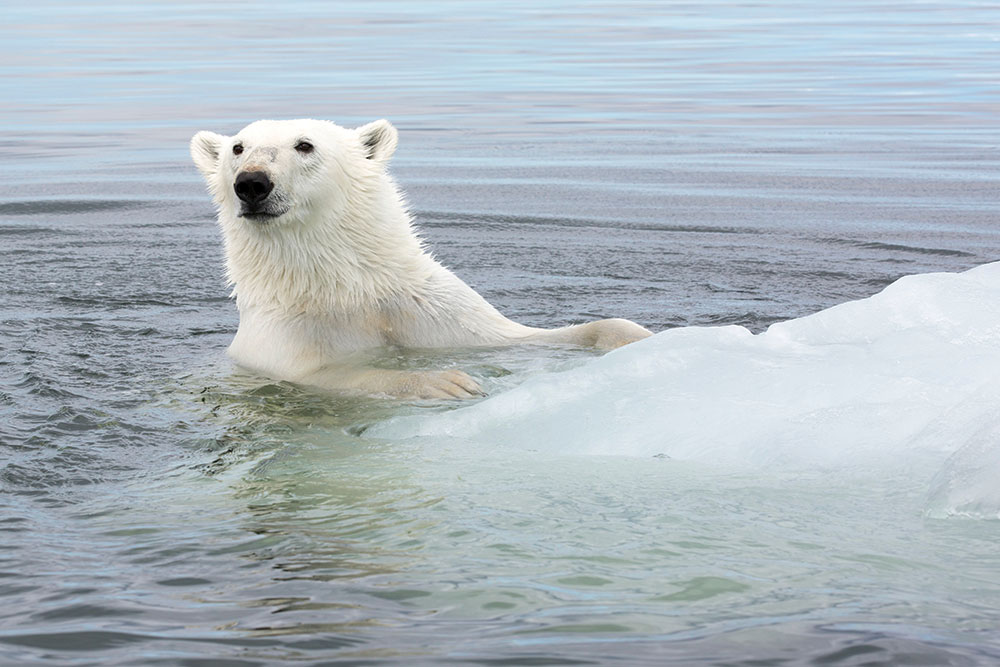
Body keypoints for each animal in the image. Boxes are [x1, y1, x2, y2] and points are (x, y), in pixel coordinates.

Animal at [190, 118, 652, 400]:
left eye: (304, 145)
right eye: (237, 148)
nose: (252, 183)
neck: (344, 287)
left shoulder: (423, 304)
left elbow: (510, 337)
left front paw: (636, 336)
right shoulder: (279, 338)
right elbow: (325, 374)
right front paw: (448, 382)